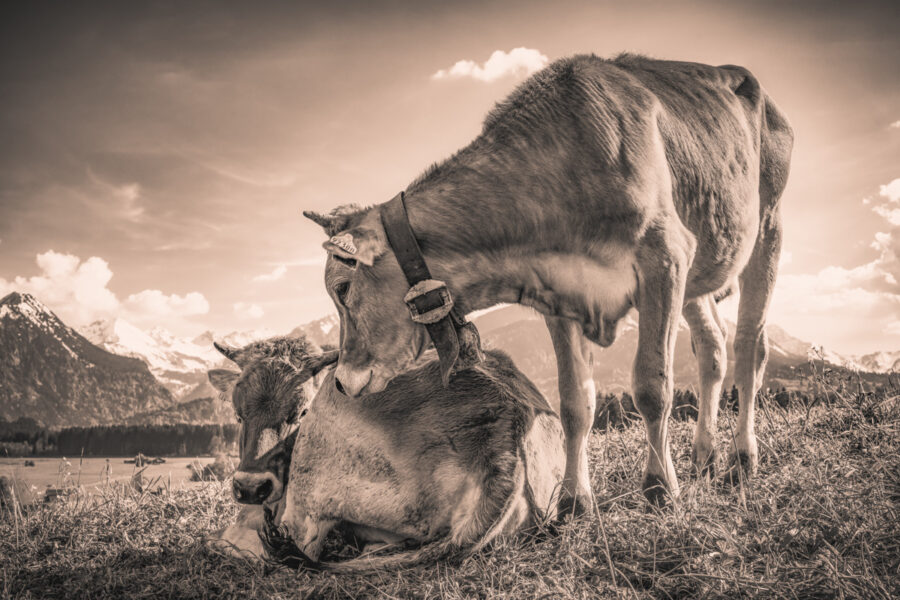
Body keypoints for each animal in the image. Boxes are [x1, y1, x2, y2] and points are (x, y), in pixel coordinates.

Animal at [207, 336, 568, 568]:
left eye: (302, 412)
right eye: (238, 414)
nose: (250, 487)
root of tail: (507, 426)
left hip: (312, 488)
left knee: (293, 545)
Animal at [304, 54, 796, 508]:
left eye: (342, 289)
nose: (342, 381)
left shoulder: (665, 256)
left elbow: (652, 386)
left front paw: (660, 489)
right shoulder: (560, 291)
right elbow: (575, 402)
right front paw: (575, 501)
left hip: (768, 225)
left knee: (750, 348)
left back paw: (741, 460)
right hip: (701, 265)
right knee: (712, 348)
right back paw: (703, 456)